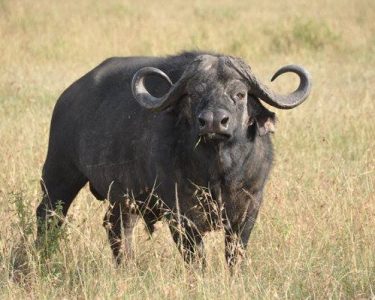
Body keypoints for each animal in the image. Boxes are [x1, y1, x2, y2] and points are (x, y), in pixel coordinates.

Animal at [36, 51, 312, 268]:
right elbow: (196, 257)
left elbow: (235, 254)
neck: (218, 173)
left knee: (118, 228)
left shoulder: (249, 207)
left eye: (240, 94)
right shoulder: (179, 212)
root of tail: (68, 97)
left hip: (122, 198)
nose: (213, 122)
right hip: (59, 175)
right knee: (47, 217)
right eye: (195, 93)